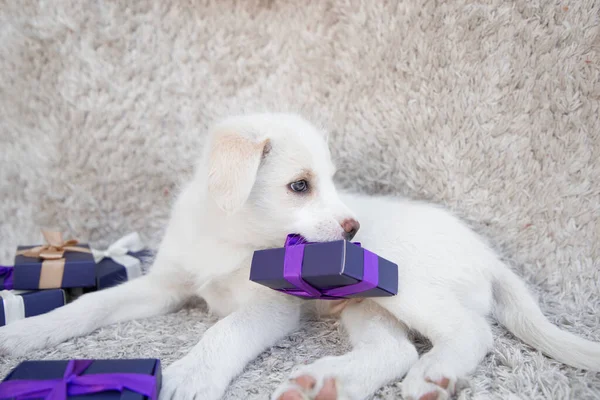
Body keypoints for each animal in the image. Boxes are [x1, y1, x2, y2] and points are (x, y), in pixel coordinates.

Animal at [1, 113, 600, 400]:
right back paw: (327, 385)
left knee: (469, 331)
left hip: (404, 282)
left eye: (331, 182)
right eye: (300, 186)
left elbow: (223, 333)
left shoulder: (271, 307)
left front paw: (191, 374)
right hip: (365, 304)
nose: (353, 228)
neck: (232, 236)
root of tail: (490, 257)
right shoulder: (163, 284)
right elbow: (88, 307)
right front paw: (25, 332)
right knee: (394, 351)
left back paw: (434, 374)